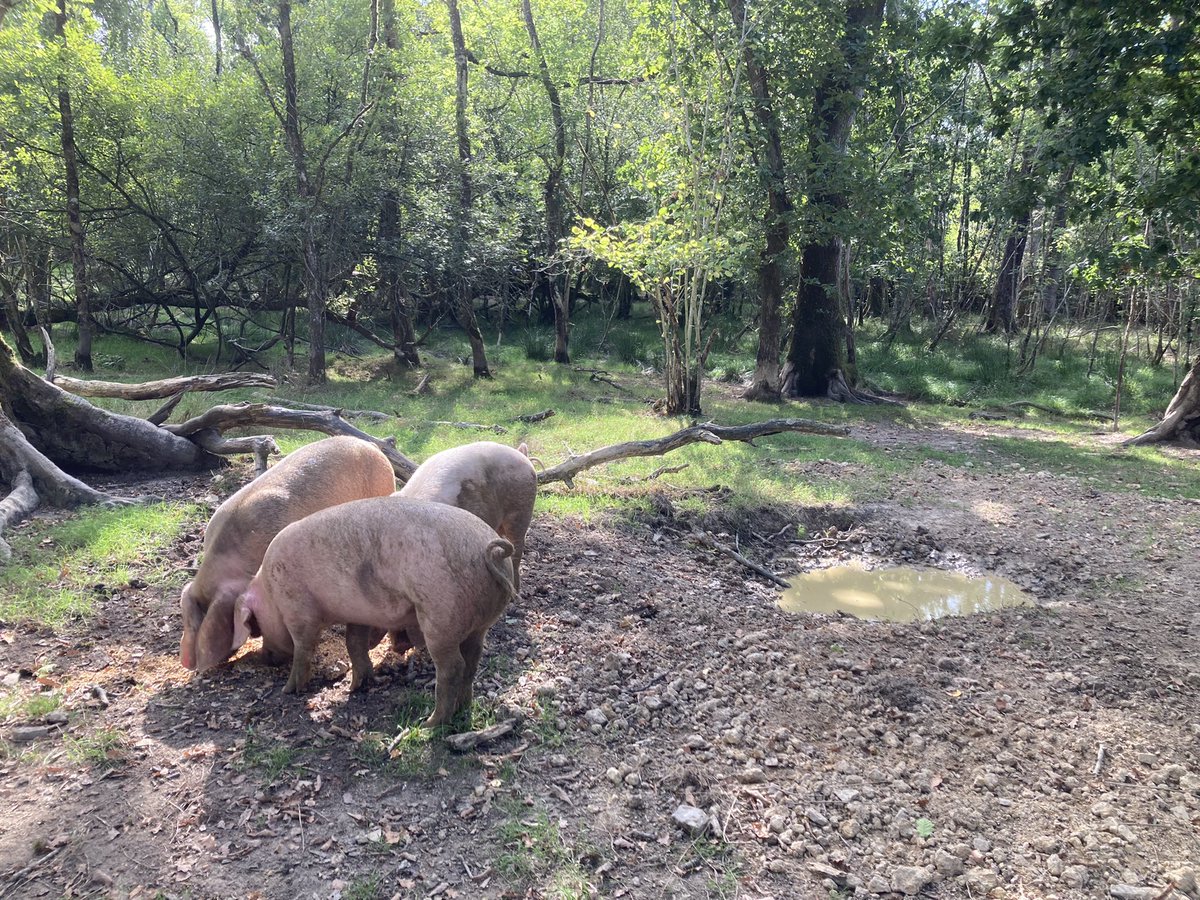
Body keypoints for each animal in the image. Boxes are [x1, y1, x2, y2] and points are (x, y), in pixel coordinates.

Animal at [230, 496, 517, 727]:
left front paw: (289, 691)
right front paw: (357, 686)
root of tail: (490, 551)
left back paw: (430, 723)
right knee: (473, 658)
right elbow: (354, 643)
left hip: (440, 616)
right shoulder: (358, 613)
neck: (269, 591)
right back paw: (462, 708)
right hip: (480, 623)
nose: (265, 658)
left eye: (256, 626)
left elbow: (303, 649)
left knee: (453, 666)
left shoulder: (297, 609)